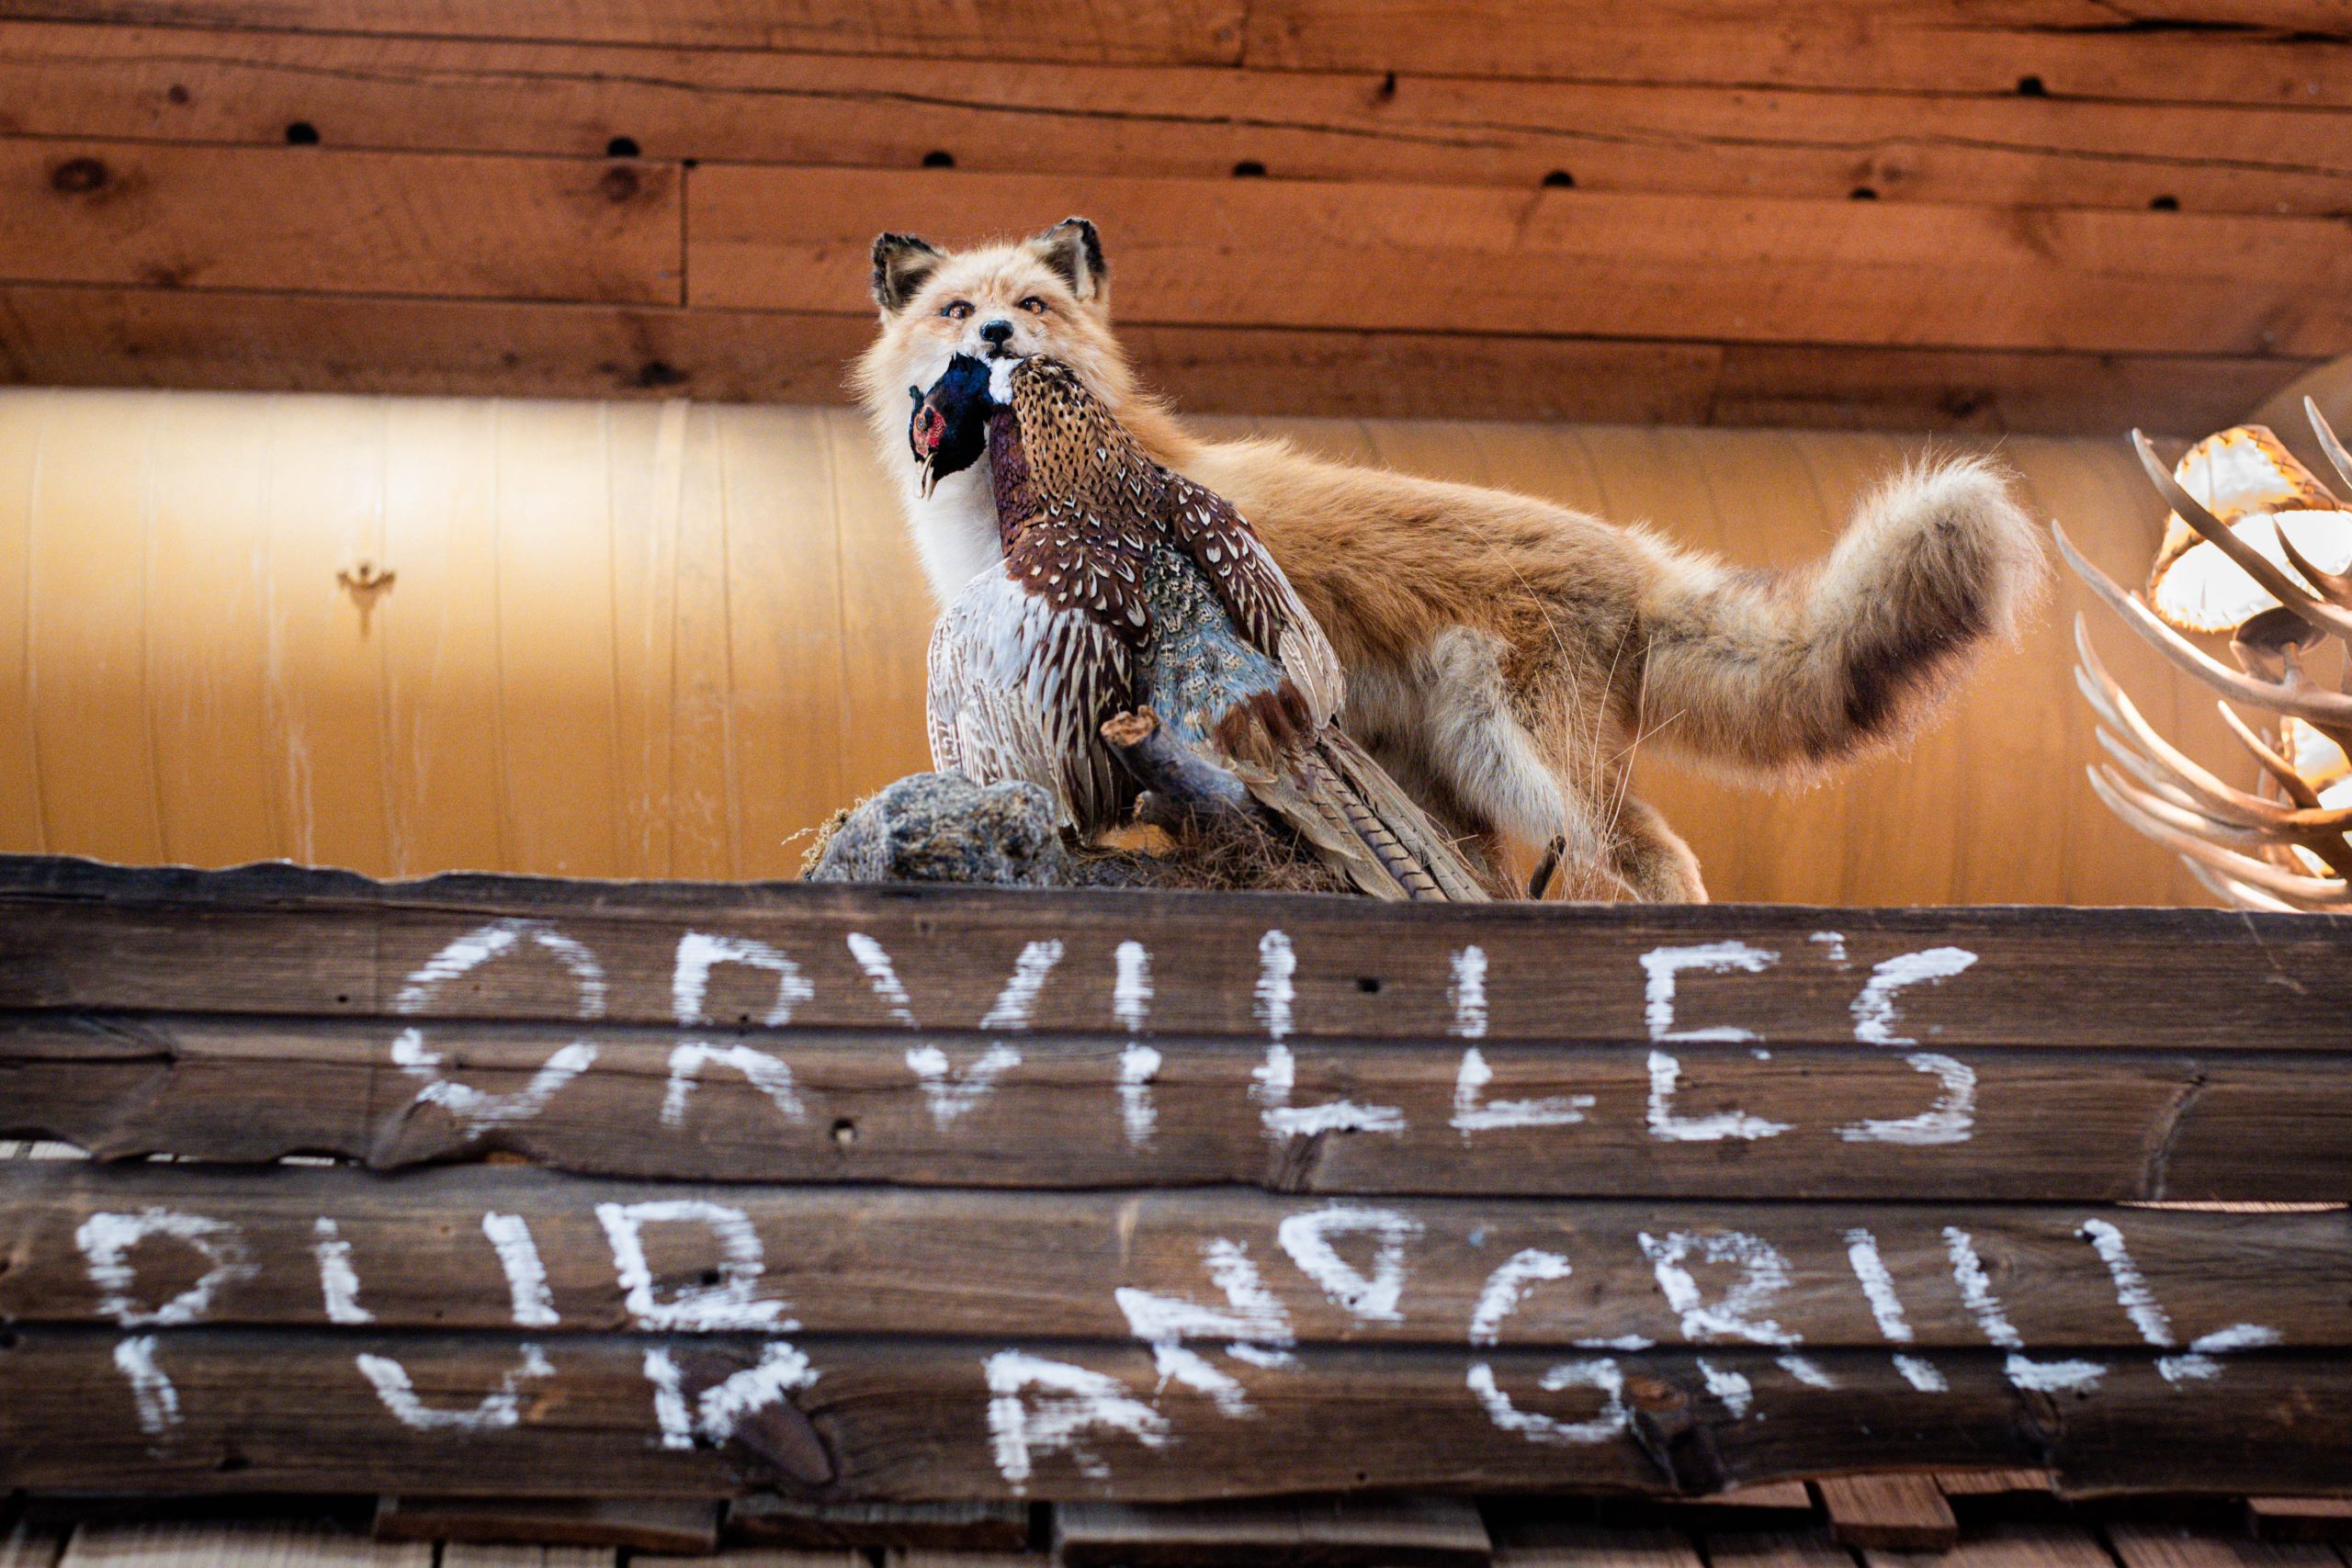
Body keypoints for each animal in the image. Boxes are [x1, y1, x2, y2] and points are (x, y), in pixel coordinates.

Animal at [855, 220, 2051, 907]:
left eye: (1033, 305)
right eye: (955, 308)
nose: (995, 340)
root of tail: (1633, 553)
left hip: (1527, 760)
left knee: (1657, 857)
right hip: (1448, 776)